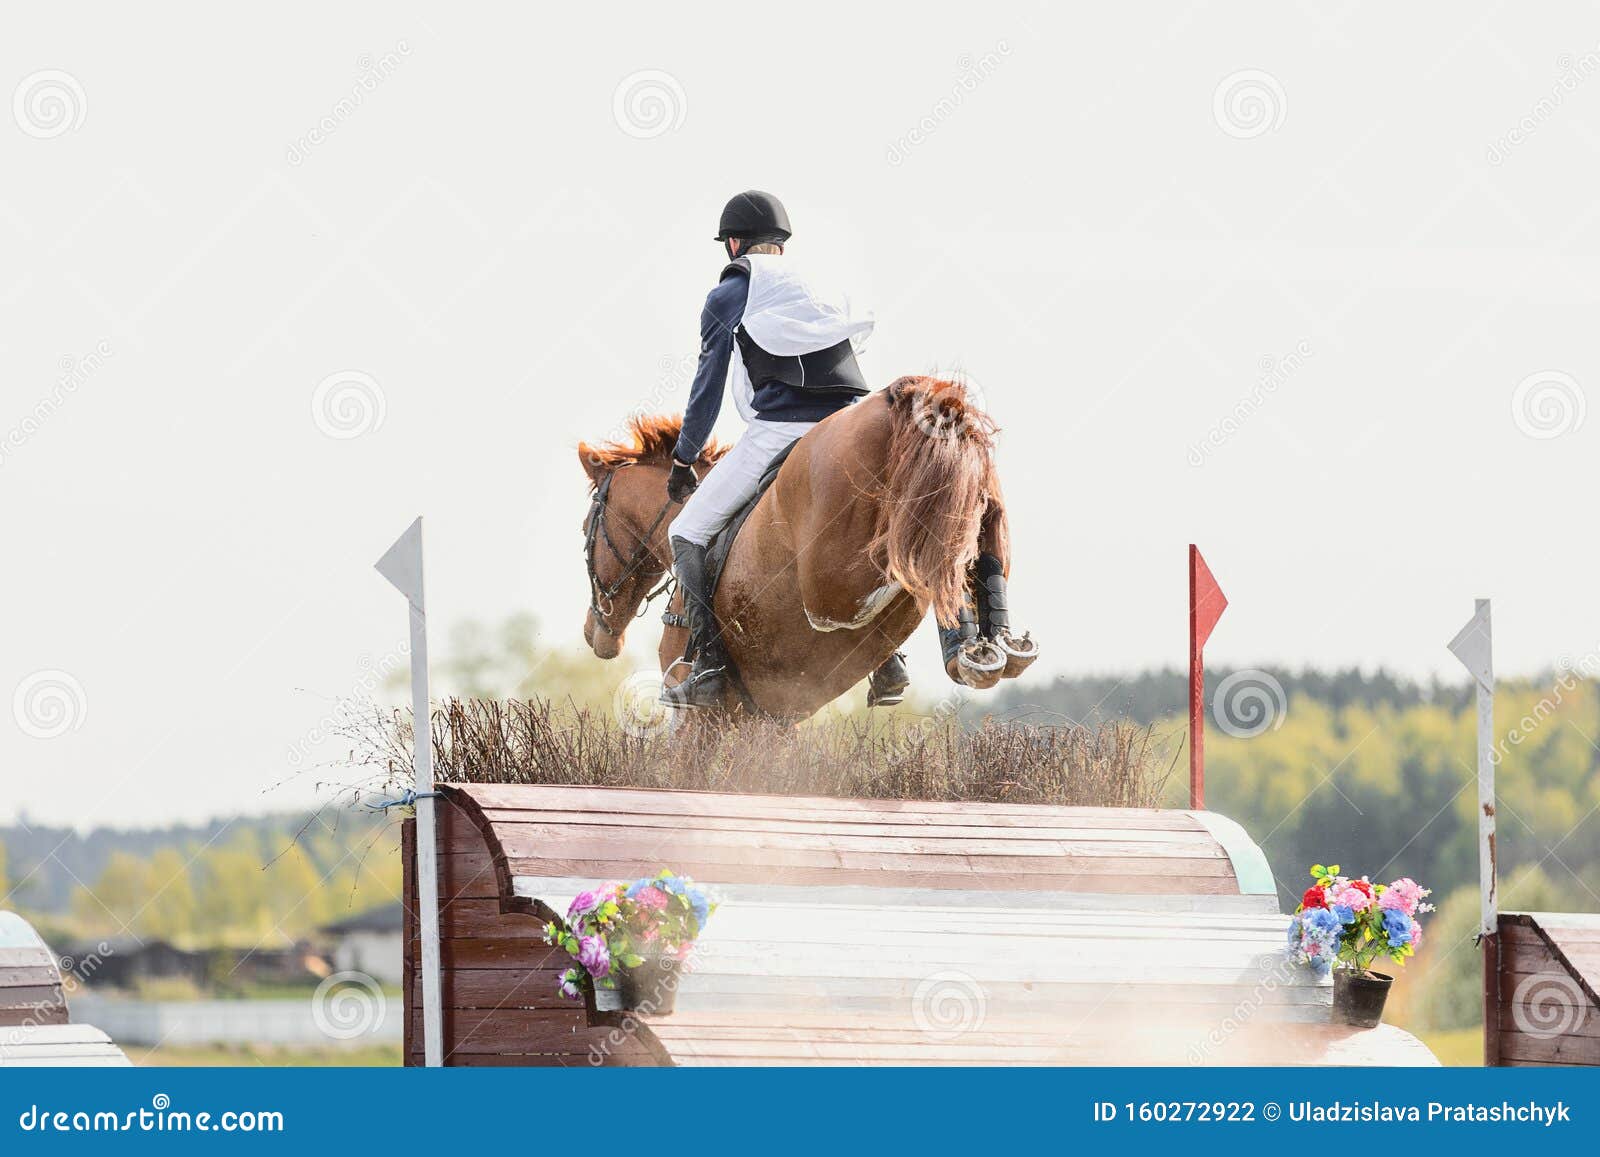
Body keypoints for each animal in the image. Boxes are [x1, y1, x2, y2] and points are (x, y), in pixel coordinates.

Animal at [579, 376, 1036, 720]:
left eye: (587, 529)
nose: (594, 635)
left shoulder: (704, 715)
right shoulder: (773, 718)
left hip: (829, 585)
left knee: (909, 571)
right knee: (972, 550)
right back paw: (988, 646)